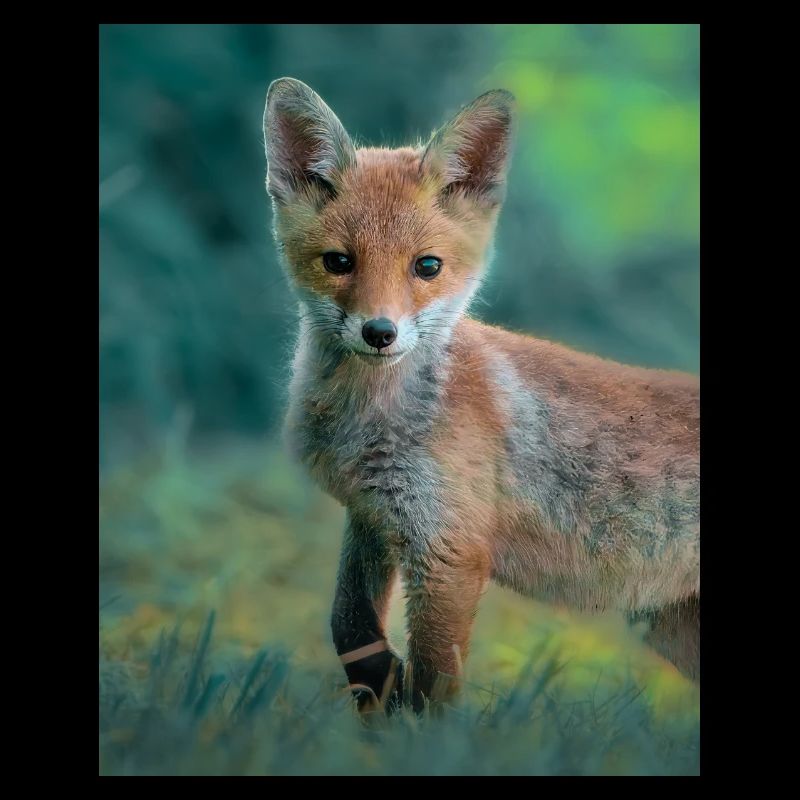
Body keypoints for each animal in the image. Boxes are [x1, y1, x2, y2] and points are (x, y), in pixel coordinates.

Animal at [262, 77, 699, 714]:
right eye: (338, 262)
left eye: (427, 266)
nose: (379, 332)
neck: (370, 424)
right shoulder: (374, 516)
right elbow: (350, 626)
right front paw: (379, 691)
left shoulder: (450, 550)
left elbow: (434, 684)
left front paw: (418, 729)